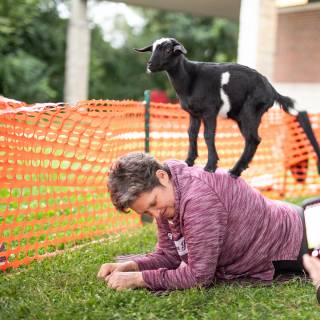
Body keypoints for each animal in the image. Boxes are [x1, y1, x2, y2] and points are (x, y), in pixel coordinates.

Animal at [135, 38, 320, 178]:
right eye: (152, 49)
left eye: (168, 50)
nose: (150, 65)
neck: (190, 78)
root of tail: (271, 90)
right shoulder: (194, 113)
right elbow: (191, 133)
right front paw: (188, 161)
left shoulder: (210, 111)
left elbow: (208, 135)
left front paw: (210, 166)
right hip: (243, 116)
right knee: (251, 140)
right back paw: (238, 170)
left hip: (251, 111)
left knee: (253, 139)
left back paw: (235, 171)